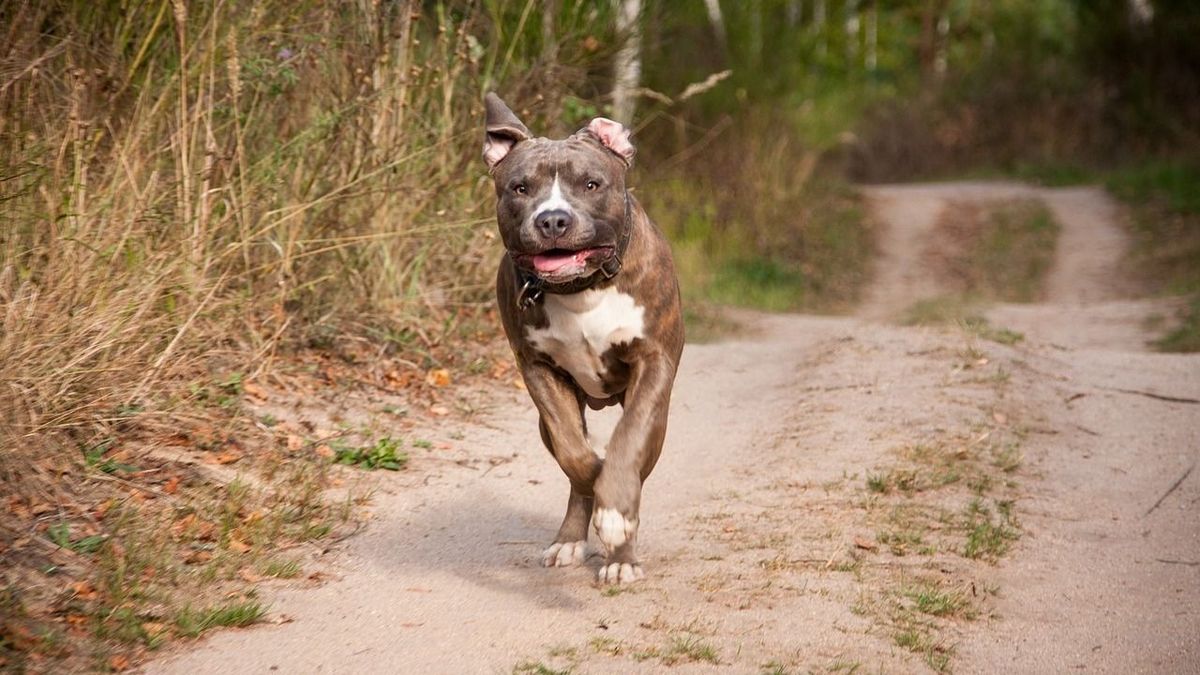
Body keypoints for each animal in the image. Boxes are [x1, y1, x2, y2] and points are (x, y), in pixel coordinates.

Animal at [480, 91, 686, 581]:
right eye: (520, 188)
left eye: (591, 184)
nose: (553, 219)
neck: (581, 289)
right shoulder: (537, 368)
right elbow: (575, 454)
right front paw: (596, 481)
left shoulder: (653, 363)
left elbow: (628, 444)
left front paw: (616, 517)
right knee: (573, 462)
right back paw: (571, 539)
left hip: (660, 417)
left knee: (637, 455)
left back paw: (621, 555)